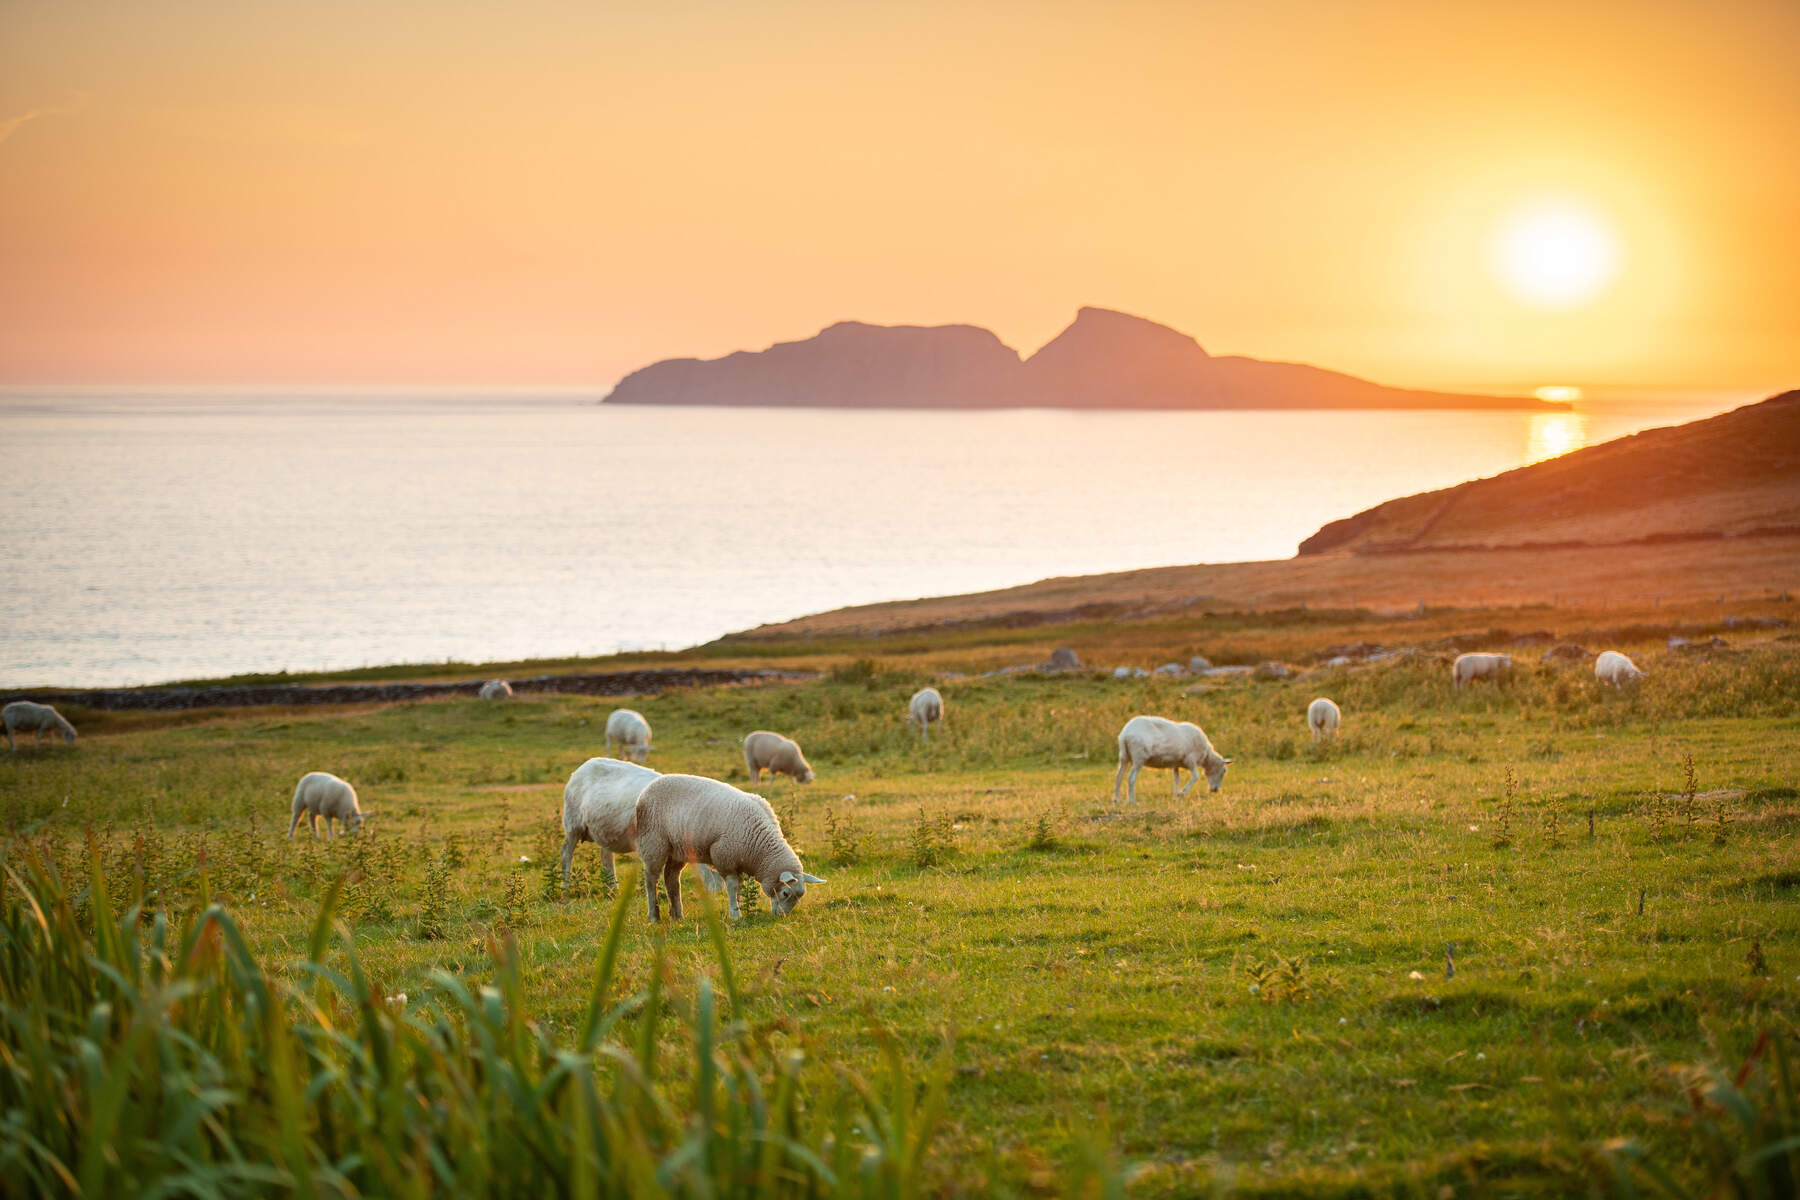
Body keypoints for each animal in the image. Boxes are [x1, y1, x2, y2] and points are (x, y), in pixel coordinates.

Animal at [565, 759, 727, 892]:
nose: (718, 893)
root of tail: (585, 765)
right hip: (572, 823)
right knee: (566, 853)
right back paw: (565, 884)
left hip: (605, 831)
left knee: (606, 856)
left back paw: (612, 888)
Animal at [633, 773, 824, 928]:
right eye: (785, 893)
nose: (782, 917)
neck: (760, 849)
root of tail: (646, 791)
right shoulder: (724, 857)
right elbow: (732, 886)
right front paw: (735, 913)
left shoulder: (737, 862)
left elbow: (739, 887)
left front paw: (738, 907)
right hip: (653, 843)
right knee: (651, 879)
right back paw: (654, 916)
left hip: (677, 849)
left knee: (671, 879)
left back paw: (678, 916)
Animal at [1108, 712, 1238, 805]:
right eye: (1224, 771)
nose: (1215, 790)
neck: (1206, 755)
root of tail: (1125, 734)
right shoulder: (1191, 760)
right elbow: (1195, 776)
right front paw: (1182, 793)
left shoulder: (1176, 764)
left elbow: (1176, 779)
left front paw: (1175, 795)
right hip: (1138, 757)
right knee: (1131, 778)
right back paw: (1132, 801)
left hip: (1124, 756)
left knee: (1119, 776)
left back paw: (1116, 799)